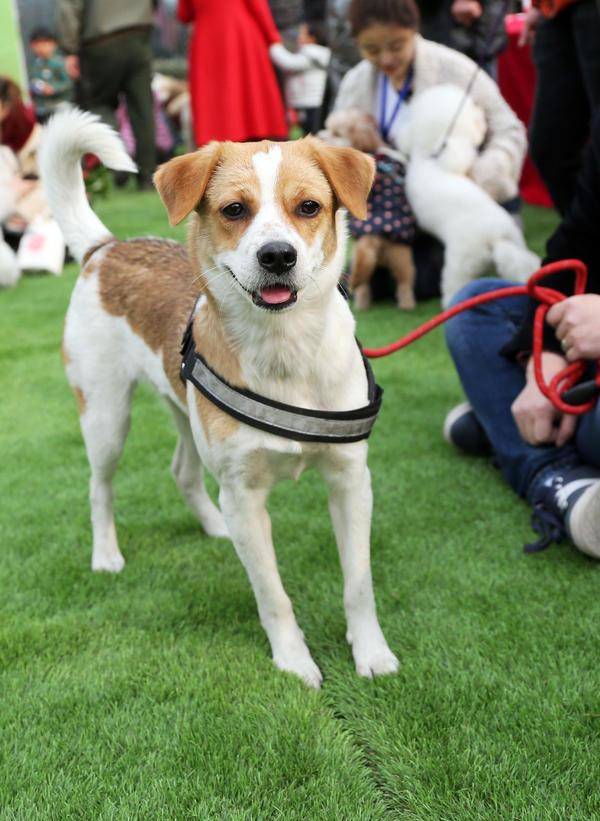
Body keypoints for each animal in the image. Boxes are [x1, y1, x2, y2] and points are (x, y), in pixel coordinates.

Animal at [39, 107, 400, 684]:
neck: (284, 350)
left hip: (184, 410)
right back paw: (106, 554)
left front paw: (371, 652)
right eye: (235, 209)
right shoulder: (244, 493)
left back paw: (214, 526)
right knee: (99, 486)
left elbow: (359, 583)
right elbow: (272, 594)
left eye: (308, 207)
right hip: (106, 415)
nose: (277, 255)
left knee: (183, 472)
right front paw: (294, 663)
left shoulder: (350, 481)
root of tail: (107, 249)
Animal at [404, 84, 540, 308]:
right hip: (515, 241)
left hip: (460, 263)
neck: (434, 158)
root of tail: (495, 239)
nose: (481, 115)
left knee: (455, 284)